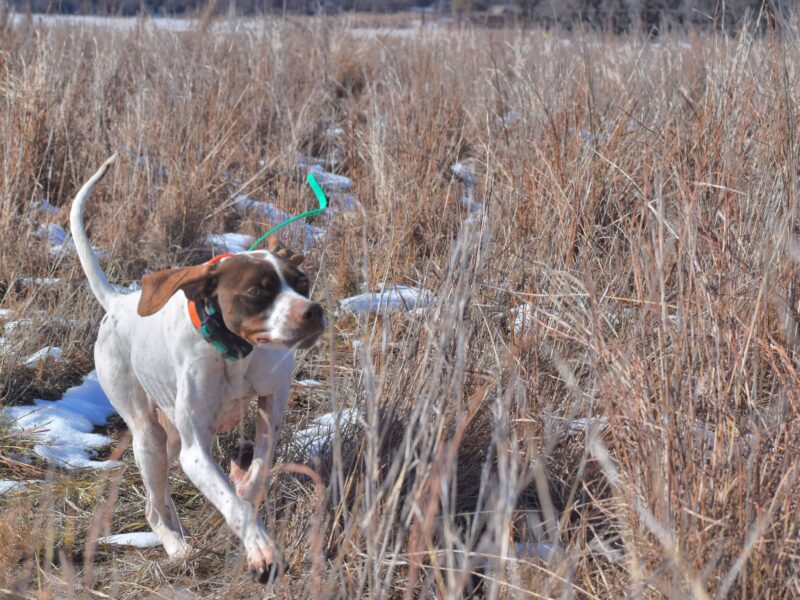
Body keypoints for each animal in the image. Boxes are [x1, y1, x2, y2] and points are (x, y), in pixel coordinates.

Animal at [71, 156, 324, 580]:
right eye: (256, 292)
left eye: (301, 282)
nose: (313, 312)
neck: (235, 352)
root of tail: (118, 302)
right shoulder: (195, 452)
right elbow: (236, 507)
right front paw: (262, 551)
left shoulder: (273, 397)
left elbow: (256, 475)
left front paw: (244, 481)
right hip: (150, 438)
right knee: (154, 508)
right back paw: (179, 552)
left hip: (171, 440)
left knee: (160, 502)